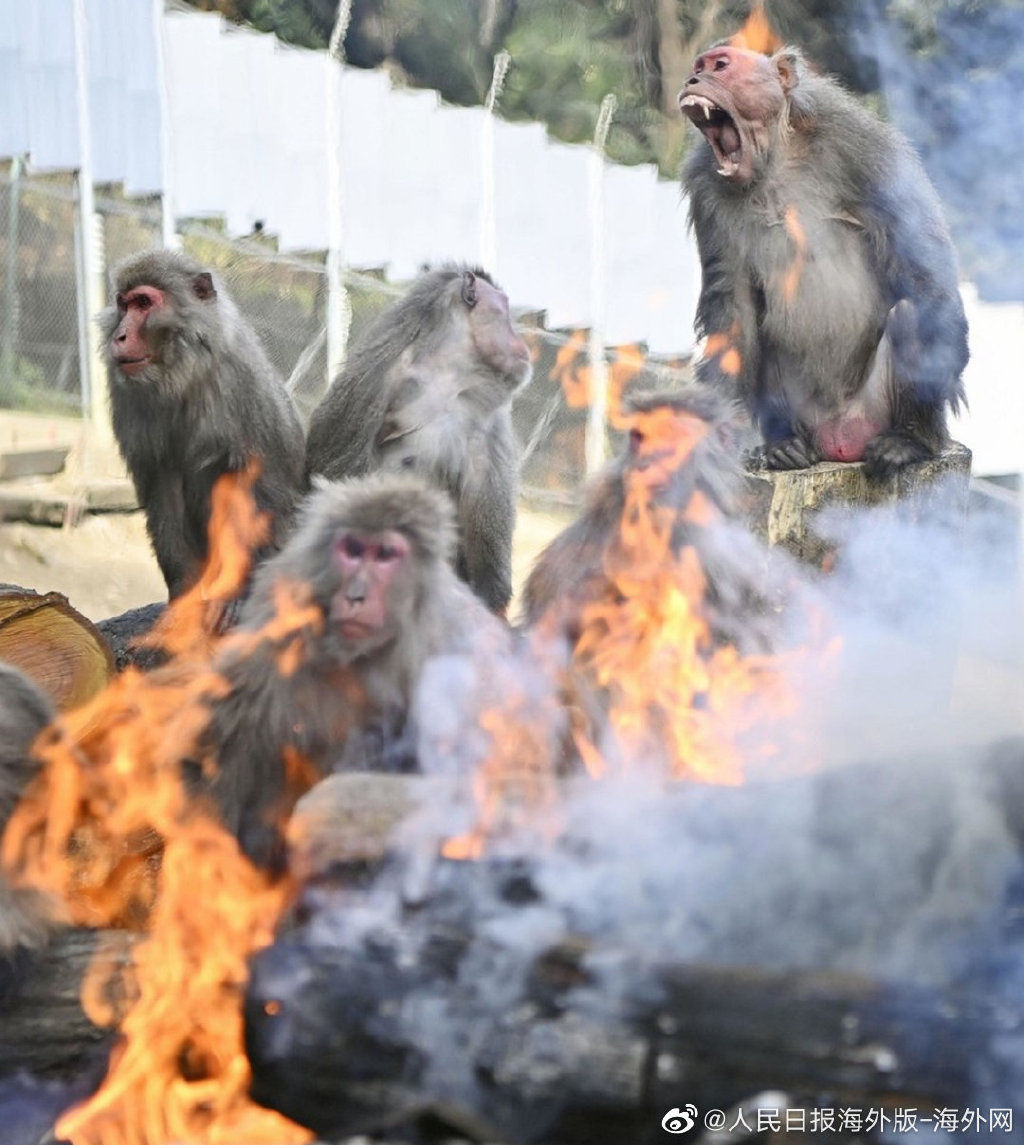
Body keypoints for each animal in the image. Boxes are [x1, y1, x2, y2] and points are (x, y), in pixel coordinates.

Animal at [99, 249, 309, 604]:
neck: (182, 373)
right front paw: (183, 588)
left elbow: (258, 485)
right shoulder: (127, 392)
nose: (119, 336)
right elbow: (161, 482)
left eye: (143, 302)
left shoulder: (240, 383)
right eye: (123, 305)